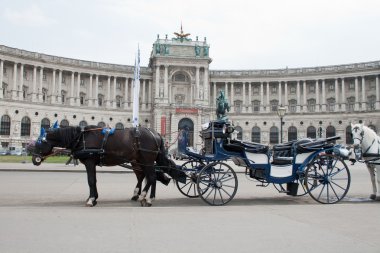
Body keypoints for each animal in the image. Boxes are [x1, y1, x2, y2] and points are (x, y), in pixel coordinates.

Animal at [28, 125, 180, 207]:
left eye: (39, 142)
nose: (34, 159)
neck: (81, 137)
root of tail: (156, 133)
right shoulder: (92, 163)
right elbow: (93, 181)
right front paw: (94, 198)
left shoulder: (89, 162)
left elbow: (90, 181)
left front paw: (91, 200)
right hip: (140, 161)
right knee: (148, 177)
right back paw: (144, 196)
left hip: (146, 160)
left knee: (152, 177)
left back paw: (145, 198)